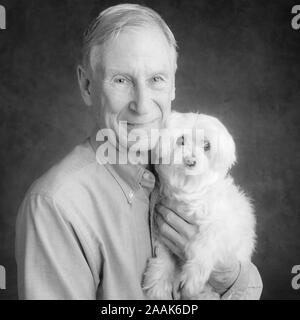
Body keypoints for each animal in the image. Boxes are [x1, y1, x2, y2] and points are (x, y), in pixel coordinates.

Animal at [143, 111, 255, 298]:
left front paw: (193, 276)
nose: (190, 160)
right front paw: (158, 280)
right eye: (181, 140)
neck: (190, 190)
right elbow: (164, 256)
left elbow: (205, 244)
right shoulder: (163, 230)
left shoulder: (223, 228)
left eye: (207, 145)